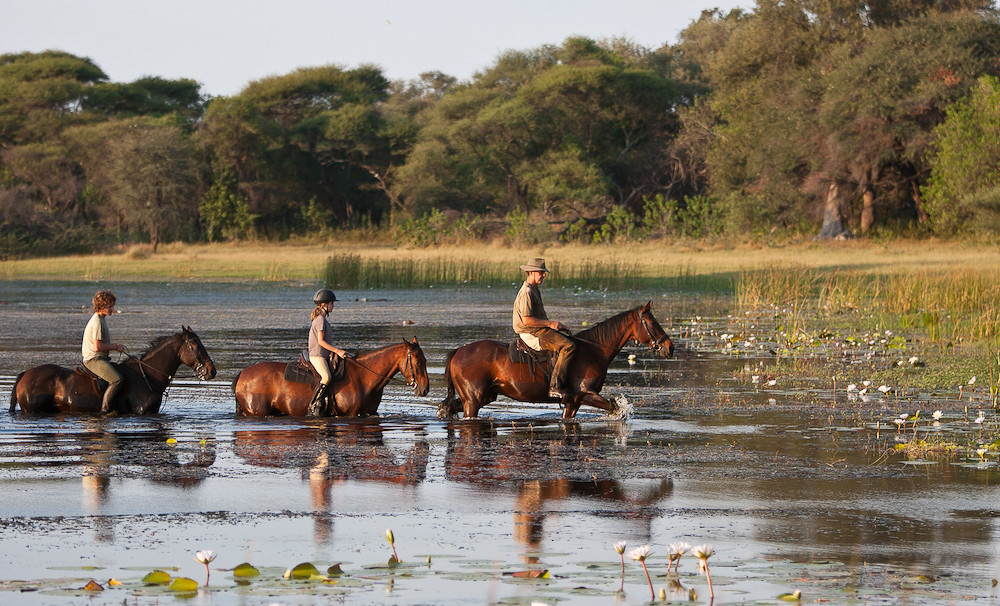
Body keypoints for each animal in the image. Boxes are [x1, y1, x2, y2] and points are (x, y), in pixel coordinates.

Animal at [437, 302, 673, 419]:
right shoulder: (585, 394)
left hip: (485, 396)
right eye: (652, 322)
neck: (594, 350)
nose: (670, 347)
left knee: (448, 408)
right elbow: (615, 407)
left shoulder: (573, 402)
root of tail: (458, 351)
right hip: (473, 400)